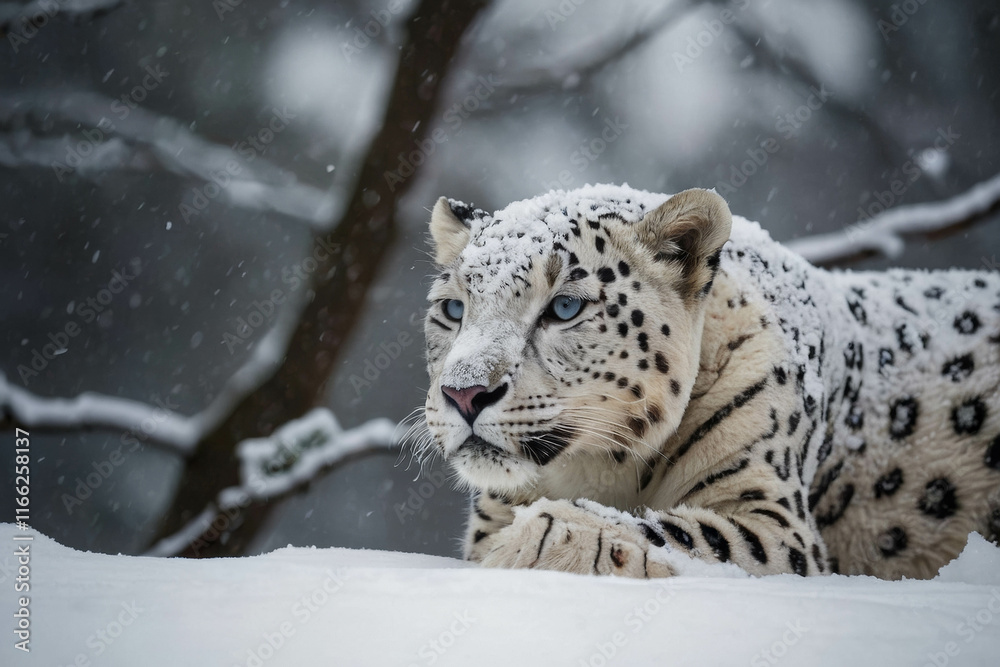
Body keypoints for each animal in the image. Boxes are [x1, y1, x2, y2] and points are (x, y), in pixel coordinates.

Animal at [418, 183, 1000, 580]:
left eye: (564, 307)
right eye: (453, 308)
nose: (464, 392)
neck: (599, 472)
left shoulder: (773, 518)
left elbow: (689, 533)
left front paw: (534, 541)